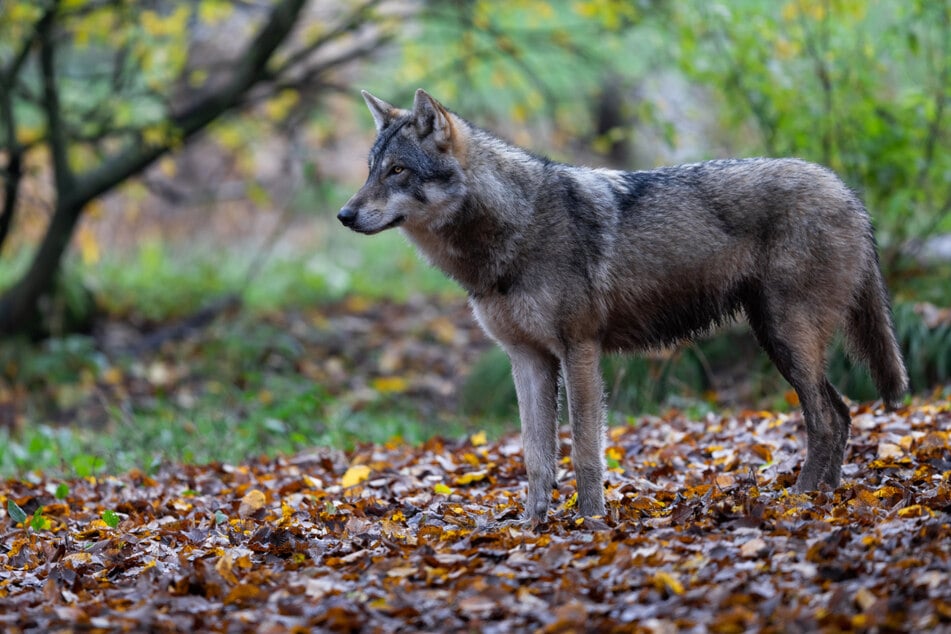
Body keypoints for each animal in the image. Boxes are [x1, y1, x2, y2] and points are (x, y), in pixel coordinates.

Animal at [338, 89, 908, 523]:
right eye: (370, 170)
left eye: (397, 170)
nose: (344, 215)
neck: (511, 230)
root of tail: (848, 193)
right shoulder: (527, 359)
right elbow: (535, 457)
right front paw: (529, 525)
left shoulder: (580, 351)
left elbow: (586, 451)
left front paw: (590, 521)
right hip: (779, 339)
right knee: (842, 412)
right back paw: (826, 495)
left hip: (785, 338)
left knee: (826, 418)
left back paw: (800, 499)